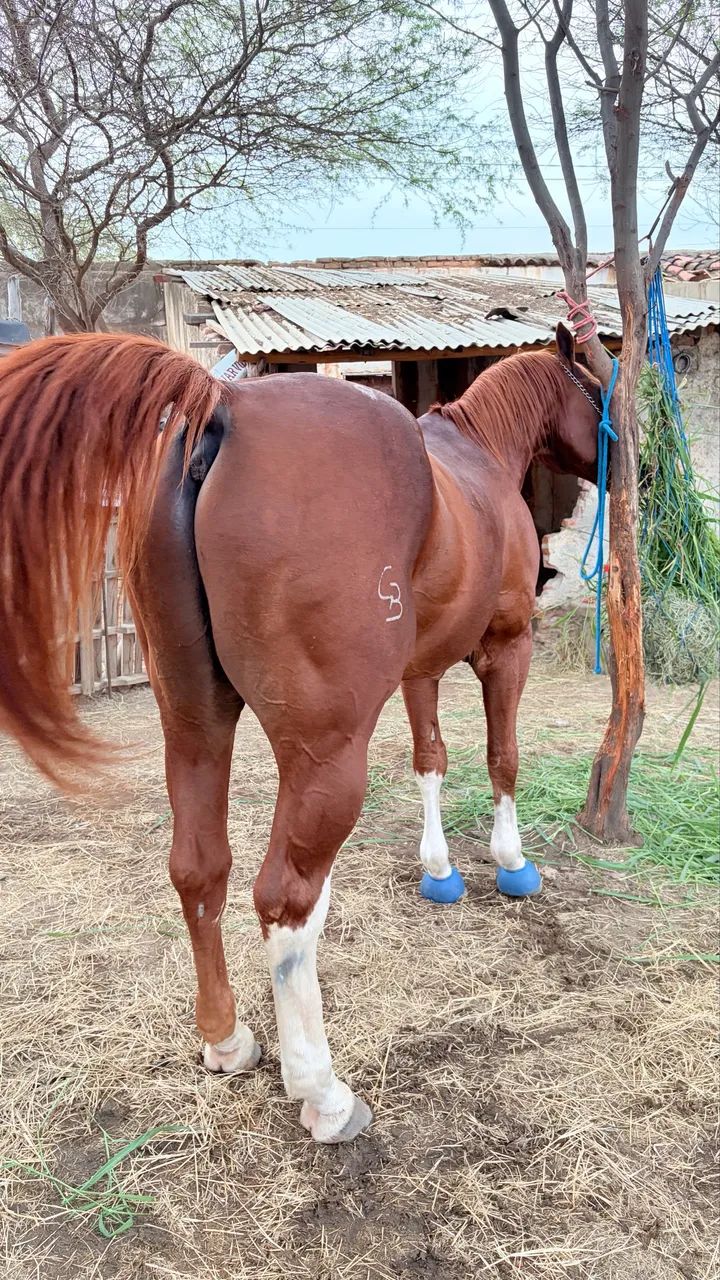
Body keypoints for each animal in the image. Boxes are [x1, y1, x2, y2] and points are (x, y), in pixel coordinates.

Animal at [0, 322, 602, 1144]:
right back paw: (322, 1091)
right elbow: (501, 756)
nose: (629, 466)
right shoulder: (507, 647)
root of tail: (226, 404)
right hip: (325, 757)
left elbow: (431, 759)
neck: (477, 458)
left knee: (199, 870)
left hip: (194, 725)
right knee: (285, 903)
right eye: (596, 391)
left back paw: (226, 1040)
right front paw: (511, 864)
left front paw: (439, 870)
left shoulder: (421, 669)